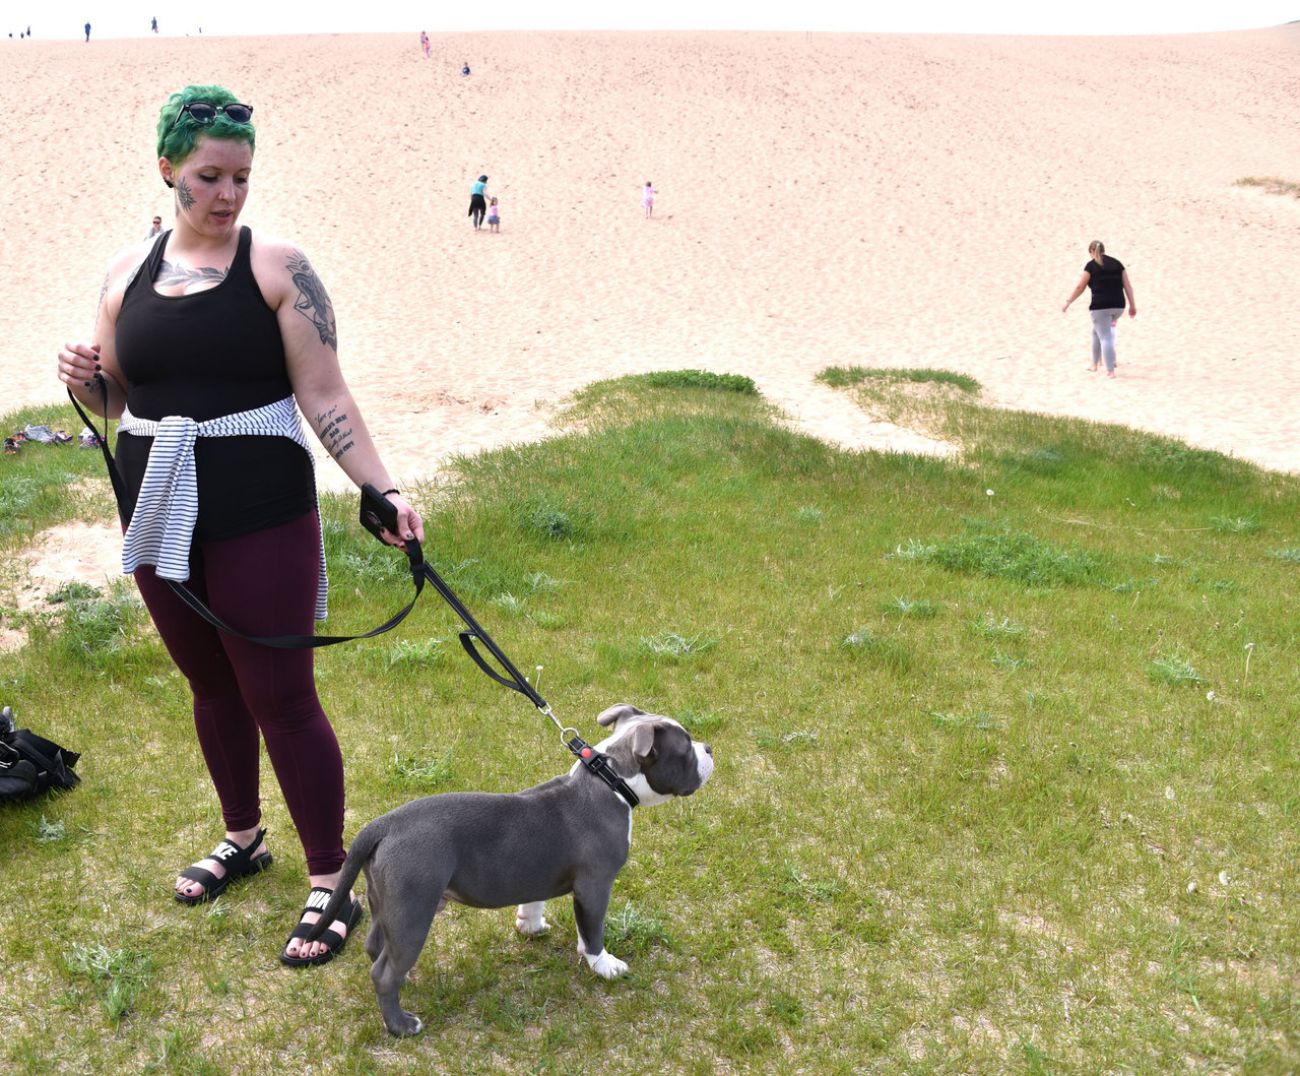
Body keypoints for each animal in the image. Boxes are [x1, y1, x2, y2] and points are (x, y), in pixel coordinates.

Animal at [306, 701, 712, 1039]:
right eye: (685, 748)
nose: (708, 748)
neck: (610, 780)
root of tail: (385, 824)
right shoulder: (595, 885)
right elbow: (592, 929)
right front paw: (603, 965)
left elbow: (535, 901)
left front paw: (530, 926)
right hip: (412, 911)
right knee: (383, 972)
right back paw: (401, 1026)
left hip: (387, 903)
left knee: (377, 948)